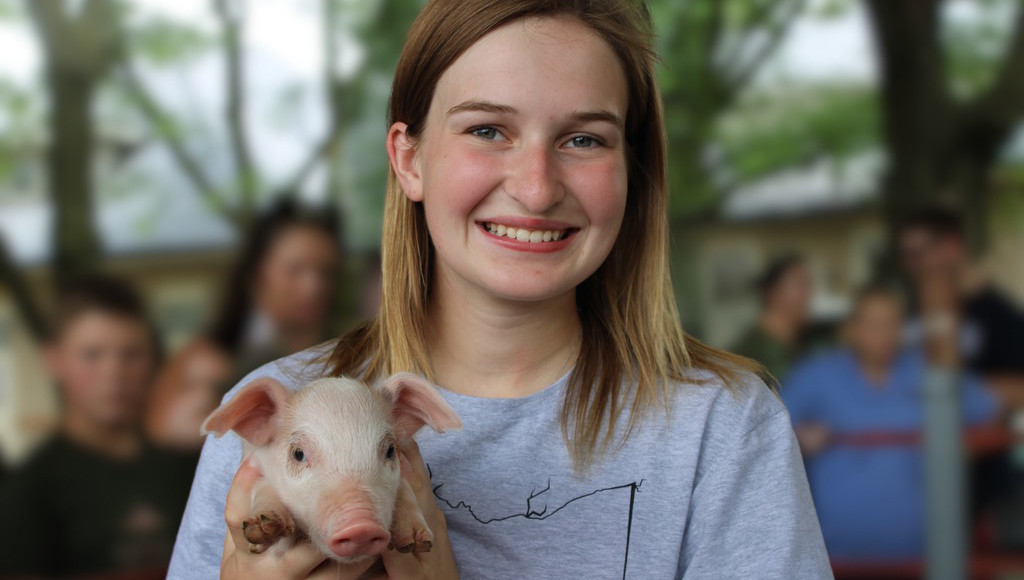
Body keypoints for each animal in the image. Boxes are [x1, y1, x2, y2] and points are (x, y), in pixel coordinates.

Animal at [200, 372, 462, 563]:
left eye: (390, 450)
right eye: (298, 454)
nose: (361, 527)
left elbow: (405, 491)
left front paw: (418, 541)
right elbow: (264, 489)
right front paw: (264, 527)